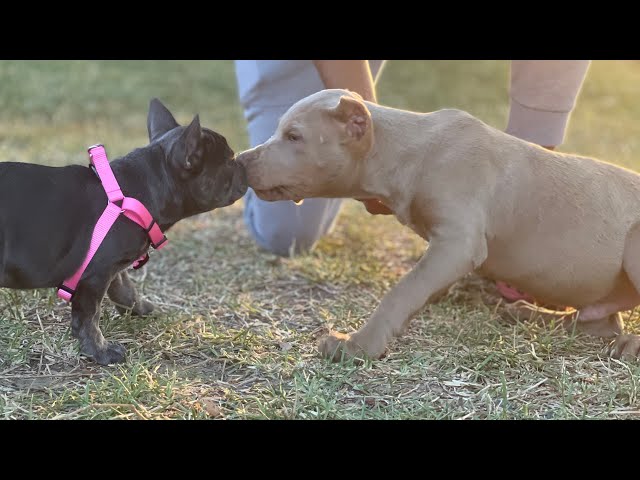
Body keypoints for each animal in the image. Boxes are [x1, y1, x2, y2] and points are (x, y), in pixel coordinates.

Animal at [238, 88, 640, 362]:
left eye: (294, 136)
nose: (240, 160)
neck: (411, 150)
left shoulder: (459, 243)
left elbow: (403, 290)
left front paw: (358, 346)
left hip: (634, 244)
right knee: (599, 322)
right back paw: (532, 313)